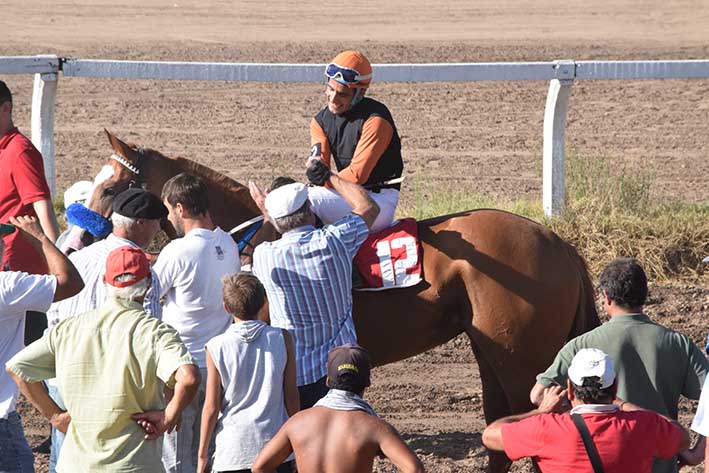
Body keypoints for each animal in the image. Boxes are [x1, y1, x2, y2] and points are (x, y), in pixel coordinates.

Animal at [76, 129, 596, 472]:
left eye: (111, 187)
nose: (77, 239)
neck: (250, 235)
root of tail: (558, 243)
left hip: (518, 356)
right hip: (491, 349)